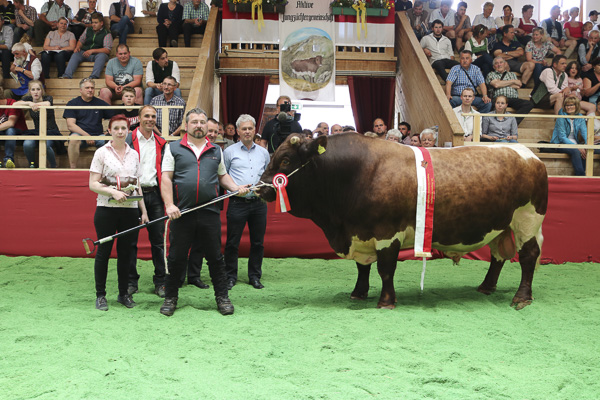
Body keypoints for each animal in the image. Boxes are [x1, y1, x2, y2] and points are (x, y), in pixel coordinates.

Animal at [258, 134, 548, 310]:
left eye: (285, 160)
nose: (260, 189)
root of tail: (529, 154)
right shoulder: (361, 233)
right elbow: (362, 268)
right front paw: (358, 293)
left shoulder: (387, 232)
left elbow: (385, 269)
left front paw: (386, 301)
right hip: (502, 226)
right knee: (498, 256)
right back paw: (486, 287)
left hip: (527, 220)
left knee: (528, 257)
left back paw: (522, 297)